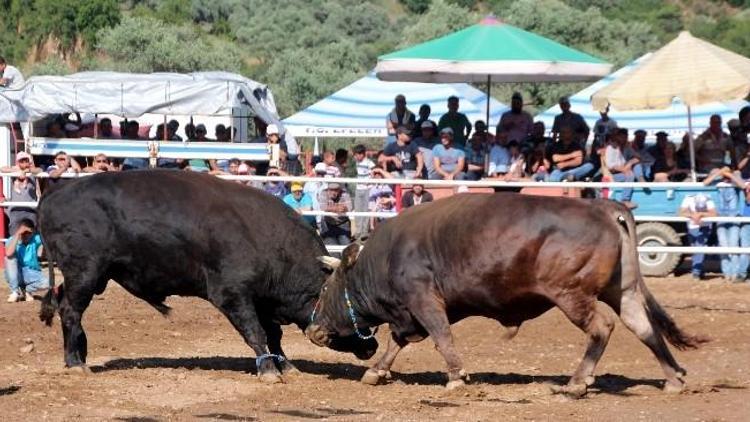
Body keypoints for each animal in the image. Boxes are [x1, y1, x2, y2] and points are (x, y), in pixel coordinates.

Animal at [36, 169, 376, 382]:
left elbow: (274, 336)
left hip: (92, 277)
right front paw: (268, 371)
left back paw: (78, 353)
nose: (371, 346)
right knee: (70, 311)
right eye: (348, 303)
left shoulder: (262, 299)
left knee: (64, 306)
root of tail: (56, 192)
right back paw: (75, 363)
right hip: (84, 273)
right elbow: (256, 333)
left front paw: (286, 365)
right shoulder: (233, 295)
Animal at [304, 193, 704, 398]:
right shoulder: (408, 312)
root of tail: (603, 207)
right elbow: (397, 341)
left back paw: (578, 382)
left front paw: (456, 376)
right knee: (645, 327)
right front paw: (376, 371)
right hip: (622, 290)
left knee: (601, 328)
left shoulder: (423, 299)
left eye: (324, 289)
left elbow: (440, 335)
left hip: (572, 294)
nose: (313, 330)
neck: (385, 258)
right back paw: (672, 378)